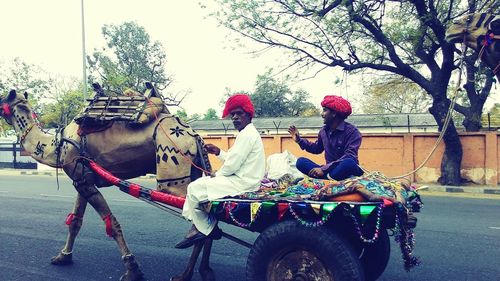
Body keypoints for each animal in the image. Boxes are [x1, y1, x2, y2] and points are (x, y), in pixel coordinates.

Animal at [0, 86, 217, 280]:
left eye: (2, 101)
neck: (57, 144)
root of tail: (193, 135)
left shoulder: (83, 181)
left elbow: (111, 223)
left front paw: (132, 270)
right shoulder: (82, 179)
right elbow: (75, 221)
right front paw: (63, 257)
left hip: (172, 167)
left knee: (203, 209)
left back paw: (186, 270)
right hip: (195, 169)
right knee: (211, 213)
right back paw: (198, 271)